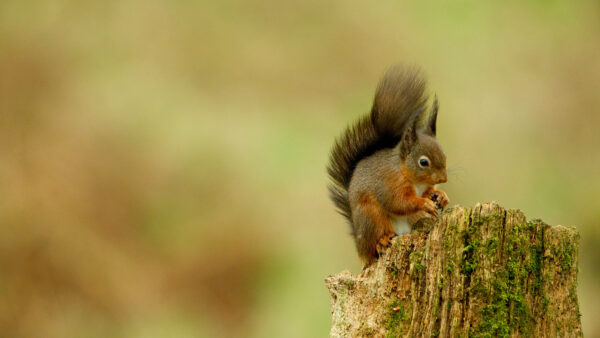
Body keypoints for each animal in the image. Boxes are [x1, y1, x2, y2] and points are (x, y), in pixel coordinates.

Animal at [326, 64, 448, 264]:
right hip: (371, 217)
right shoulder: (389, 183)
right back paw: (382, 241)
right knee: (375, 241)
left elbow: (428, 193)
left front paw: (440, 195)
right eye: (423, 162)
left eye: (444, 154)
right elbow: (398, 202)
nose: (443, 179)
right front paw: (425, 203)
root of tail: (359, 246)